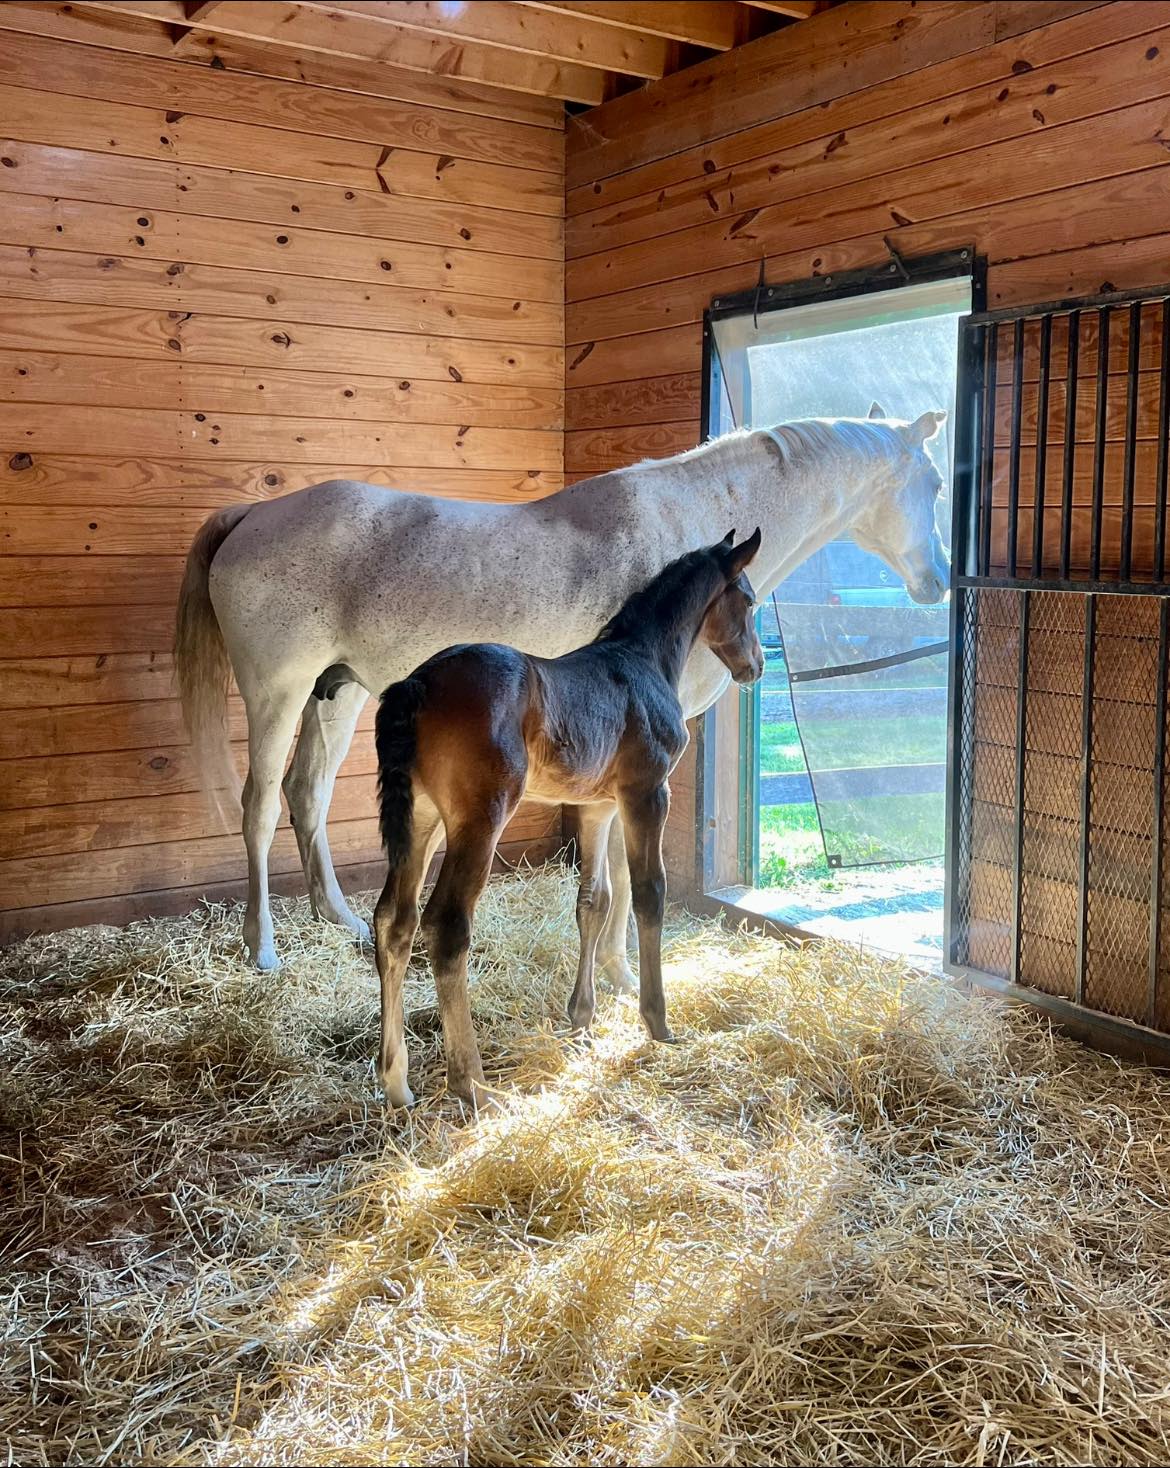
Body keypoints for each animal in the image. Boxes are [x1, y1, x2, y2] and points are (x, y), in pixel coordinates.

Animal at [174, 404, 949, 973]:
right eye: (937, 485)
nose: (938, 581)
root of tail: (252, 515)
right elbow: (626, 873)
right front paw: (624, 972)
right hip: (278, 693)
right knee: (260, 807)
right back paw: (263, 947)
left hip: (337, 693)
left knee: (307, 794)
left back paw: (339, 921)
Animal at [370, 528, 764, 1110]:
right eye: (750, 602)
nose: (756, 667)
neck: (642, 660)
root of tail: (416, 684)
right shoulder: (649, 793)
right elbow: (648, 893)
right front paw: (658, 1021)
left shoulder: (598, 807)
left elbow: (593, 901)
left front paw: (581, 1017)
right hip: (480, 820)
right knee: (447, 925)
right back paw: (474, 1085)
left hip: (420, 821)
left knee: (394, 922)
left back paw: (396, 1081)